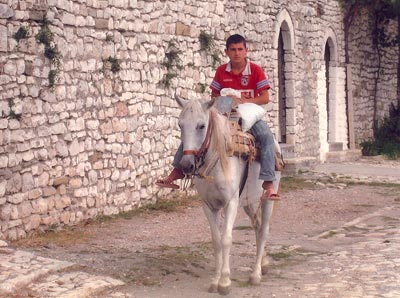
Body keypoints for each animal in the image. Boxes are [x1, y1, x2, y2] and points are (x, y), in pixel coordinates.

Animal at [175, 96, 282, 294]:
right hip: (248, 201)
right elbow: (216, 241)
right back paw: (263, 263)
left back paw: (255, 274)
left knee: (264, 230)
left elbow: (226, 239)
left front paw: (224, 282)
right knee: (257, 226)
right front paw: (215, 281)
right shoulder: (209, 205)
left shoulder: (230, 203)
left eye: (201, 126)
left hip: (267, 198)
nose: (186, 165)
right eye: (180, 125)